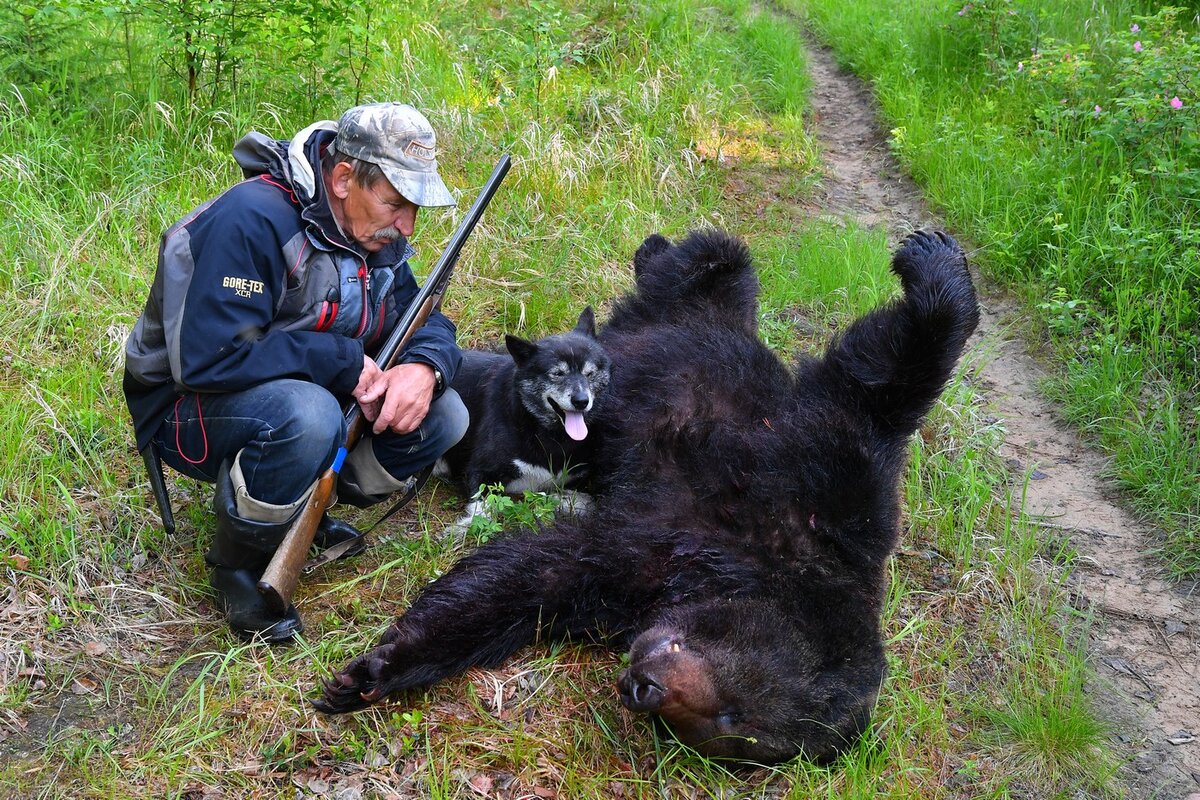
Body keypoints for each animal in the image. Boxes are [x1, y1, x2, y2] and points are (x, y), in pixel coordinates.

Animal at [314, 227, 979, 767]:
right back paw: (657, 249)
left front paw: (377, 670)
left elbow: (539, 577)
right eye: (736, 705)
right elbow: (881, 379)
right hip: (699, 306)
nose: (645, 688)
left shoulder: (643, 574)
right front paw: (934, 263)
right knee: (711, 258)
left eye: (732, 728)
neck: (760, 567)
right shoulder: (825, 479)